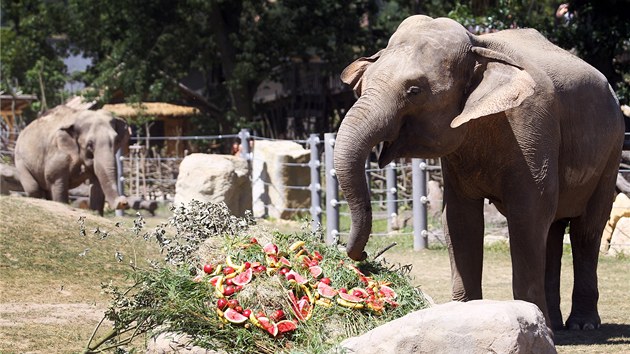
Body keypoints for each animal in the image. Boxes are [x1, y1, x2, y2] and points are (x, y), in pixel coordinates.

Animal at [336, 15, 628, 332]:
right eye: (362, 86)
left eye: (414, 91)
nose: (363, 257)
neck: (479, 45)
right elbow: (459, 220)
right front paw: (465, 314)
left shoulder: (532, 125)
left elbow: (528, 215)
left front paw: (533, 322)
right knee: (553, 230)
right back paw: (557, 324)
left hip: (612, 149)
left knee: (586, 230)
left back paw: (580, 326)